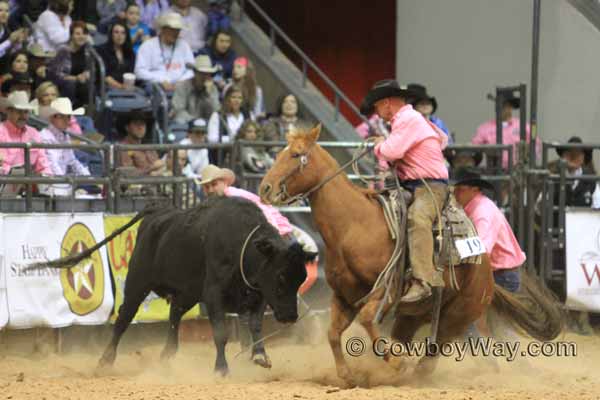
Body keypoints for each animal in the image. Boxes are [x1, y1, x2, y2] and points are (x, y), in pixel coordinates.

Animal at [260, 124, 564, 384]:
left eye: (296, 154)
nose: (265, 188)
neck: (353, 225)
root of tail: (486, 272)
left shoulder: (386, 290)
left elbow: (367, 320)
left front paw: (395, 362)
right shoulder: (344, 296)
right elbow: (333, 334)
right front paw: (348, 375)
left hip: (456, 318)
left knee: (433, 355)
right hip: (413, 316)